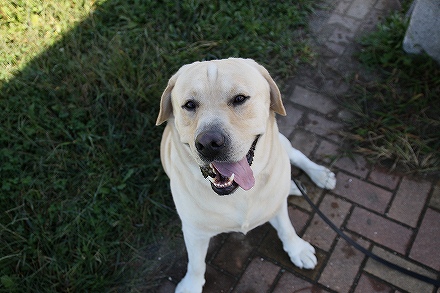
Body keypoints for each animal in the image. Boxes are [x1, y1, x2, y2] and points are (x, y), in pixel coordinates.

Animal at [156, 57, 336, 292]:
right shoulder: (194, 231)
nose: (209, 143)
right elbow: (195, 264)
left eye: (240, 99)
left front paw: (297, 249)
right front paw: (191, 285)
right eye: (189, 105)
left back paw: (319, 175)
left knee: (295, 155)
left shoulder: (276, 206)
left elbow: (286, 228)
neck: (240, 192)